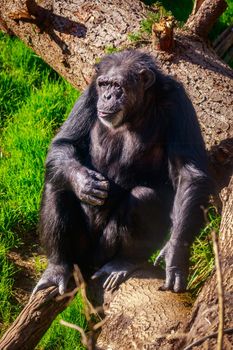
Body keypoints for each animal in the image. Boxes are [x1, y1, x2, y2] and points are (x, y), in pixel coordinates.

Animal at [32, 49, 209, 296]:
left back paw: (123, 262)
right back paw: (58, 267)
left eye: (117, 86)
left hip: (104, 250)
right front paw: (84, 182)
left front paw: (175, 255)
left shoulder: (178, 102)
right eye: (104, 84)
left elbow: (188, 171)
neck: (137, 110)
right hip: (81, 248)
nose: (107, 96)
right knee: (56, 185)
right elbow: (65, 142)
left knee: (144, 198)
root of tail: (88, 263)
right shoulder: (89, 95)